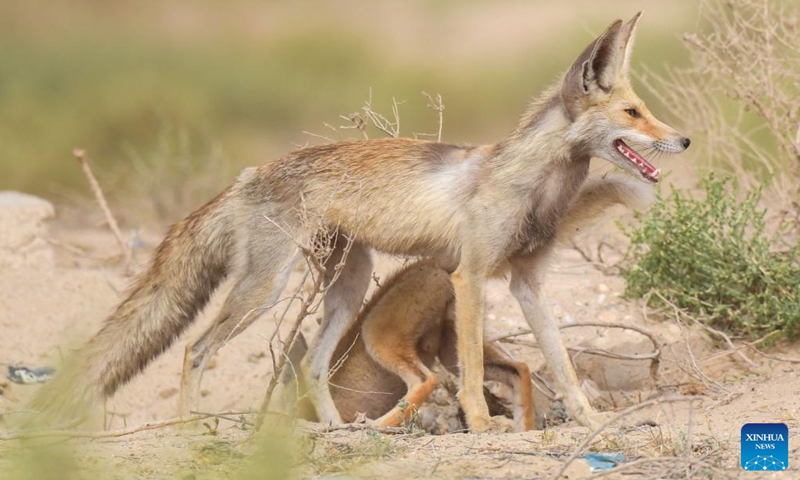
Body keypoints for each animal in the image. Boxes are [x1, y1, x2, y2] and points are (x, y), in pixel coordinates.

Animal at [29, 12, 688, 432]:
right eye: (634, 113)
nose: (682, 139)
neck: (533, 188)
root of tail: (250, 172)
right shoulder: (470, 277)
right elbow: (473, 370)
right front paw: (482, 424)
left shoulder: (527, 282)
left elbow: (562, 363)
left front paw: (592, 420)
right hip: (265, 291)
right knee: (196, 349)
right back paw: (189, 430)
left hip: (346, 289)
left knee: (313, 366)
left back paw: (338, 433)